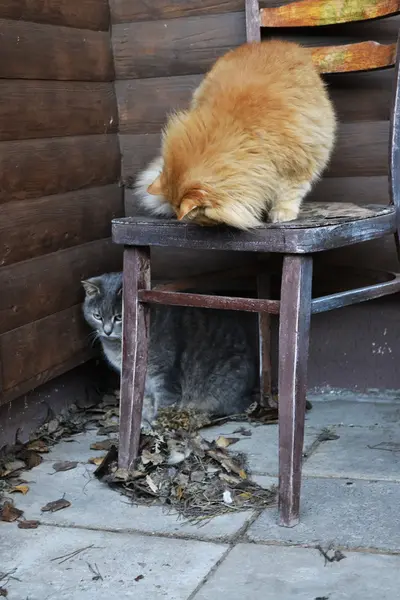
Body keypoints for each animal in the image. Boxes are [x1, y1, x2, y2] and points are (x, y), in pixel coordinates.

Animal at [82, 274, 256, 424]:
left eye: (119, 317)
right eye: (97, 316)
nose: (107, 331)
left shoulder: (164, 374)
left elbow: (164, 402)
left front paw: (157, 423)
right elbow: (144, 401)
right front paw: (144, 420)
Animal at [145, 39, 336, 227]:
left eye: (203, 217)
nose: (205, 225)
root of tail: (276, 42)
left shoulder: (299, 163)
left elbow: (289, 193)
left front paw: (282, 213)